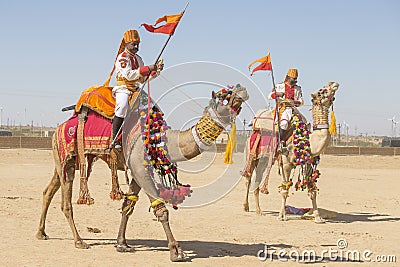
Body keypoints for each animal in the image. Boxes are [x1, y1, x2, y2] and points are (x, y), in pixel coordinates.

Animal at [36, 85, 248, 262]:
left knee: (48, 190)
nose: (242, 90)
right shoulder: (139, 167)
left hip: (63, 159)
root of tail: (58, 129)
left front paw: (122, 244)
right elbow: (161, 210)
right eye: (224, 96)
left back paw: (41, 233)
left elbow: (127, 205)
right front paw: (176, 251)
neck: (159, 139)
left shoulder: (138, 171)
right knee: (65, 201)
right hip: (67, 158)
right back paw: (79, 241)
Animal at [242, 81, 340, 224]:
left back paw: (257, 209)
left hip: (263, 160)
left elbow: (312, 191)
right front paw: (281, 216)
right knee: (248, 178)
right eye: (321, 91)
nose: (333, 83)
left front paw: (318, 217)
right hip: (252, 154)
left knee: (256, 180)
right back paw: (249, 207)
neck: (308, 142)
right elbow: (285, 189)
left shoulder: (309, 164)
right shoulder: (286, 163)